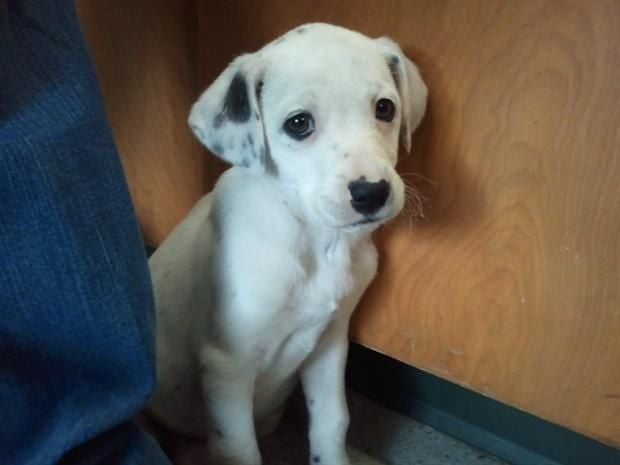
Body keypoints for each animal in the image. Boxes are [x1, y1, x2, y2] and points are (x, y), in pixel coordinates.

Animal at [147, 22, 426, 464]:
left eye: (385, 108)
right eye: (298, 123)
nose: (371, 193)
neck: (317, 241)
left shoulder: (330, 342)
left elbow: (332, 421)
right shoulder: (227, 366)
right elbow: (239, 449)